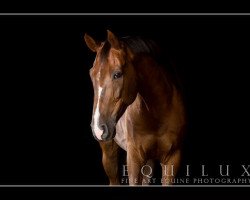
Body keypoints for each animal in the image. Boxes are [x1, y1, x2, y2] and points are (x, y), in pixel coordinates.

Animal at [84, 30, 186, 185]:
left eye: (117, 74)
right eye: (91, 74)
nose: (98, 128)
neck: (158, 114)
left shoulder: (172, 159)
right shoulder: (134, 159)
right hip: (109, 154)